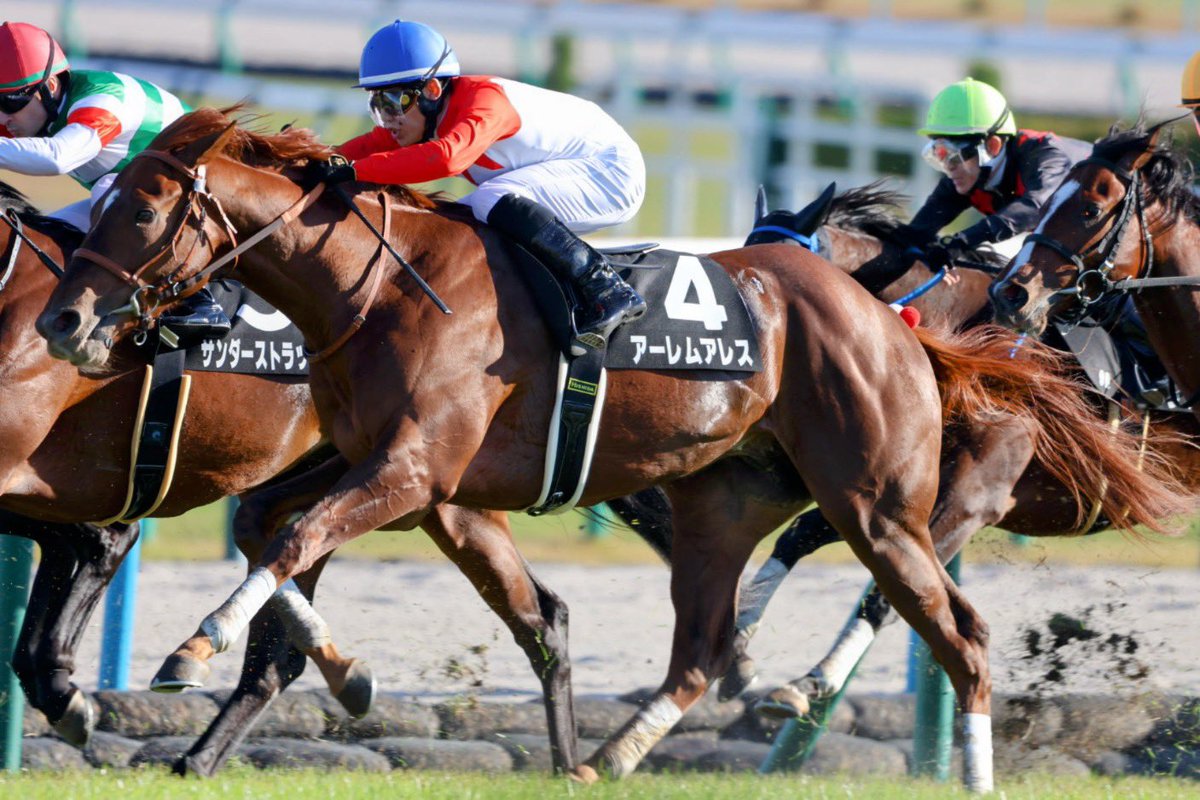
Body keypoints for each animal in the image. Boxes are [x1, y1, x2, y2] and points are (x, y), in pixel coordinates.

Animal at [0, 182, 587, 779]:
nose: (62, 325)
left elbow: (98, 541)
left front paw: (63, 687)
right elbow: (78, 545)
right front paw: (59, 683)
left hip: (427, 485)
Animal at [712, 183, 1200, 715]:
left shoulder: (971, 499)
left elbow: (890, 596)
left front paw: (813, 680)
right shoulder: (888, 493)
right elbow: (797, 536)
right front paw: (738, 648)